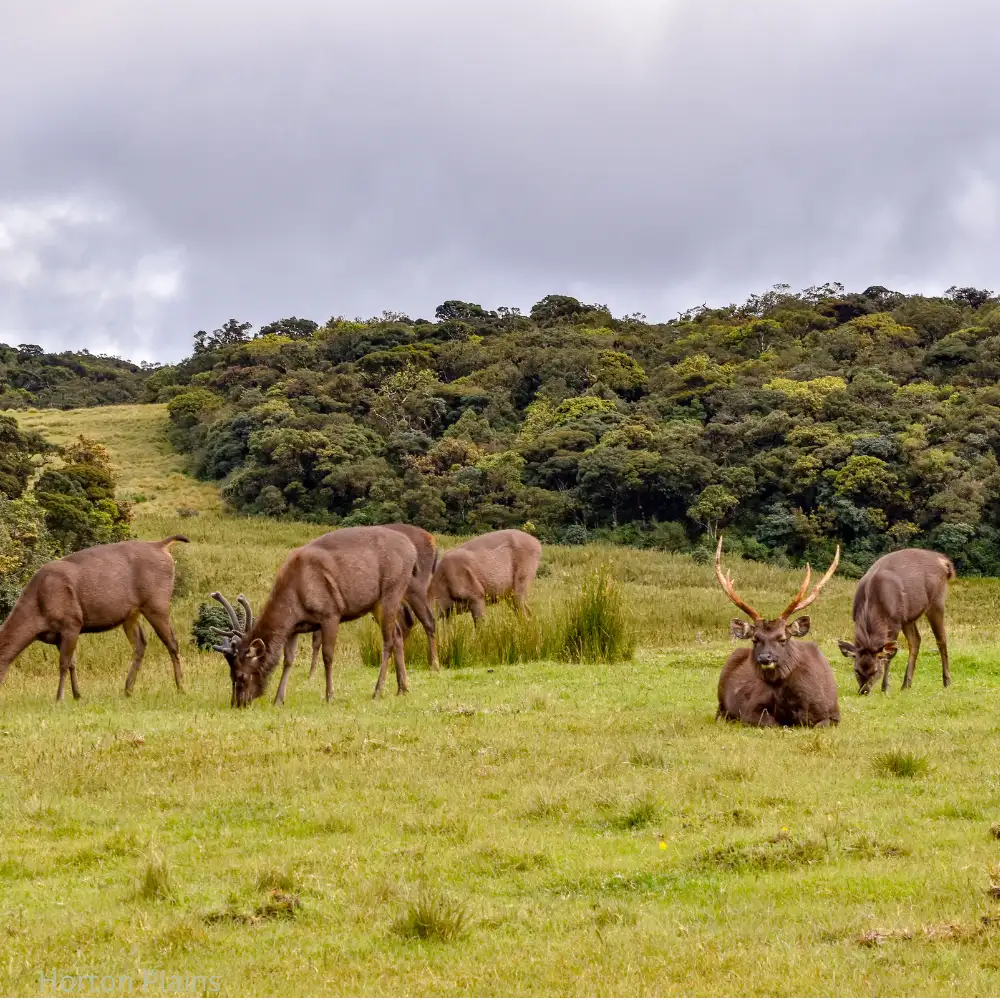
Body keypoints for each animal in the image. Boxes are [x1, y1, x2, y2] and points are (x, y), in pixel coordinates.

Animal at [0, 536, 188, 700]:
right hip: (131, 614)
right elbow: (72, 663)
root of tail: (160, 545)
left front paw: (60, 698)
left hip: (156, 602)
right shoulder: (59, 635)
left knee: (172, 642)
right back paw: (128, 689)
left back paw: (181, 687)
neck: (38, 616)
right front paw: (77, 695)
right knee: (140, 644)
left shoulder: (72, 622)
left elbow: (63, 663)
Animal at [214, 524, 422, 704]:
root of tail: (413, 551)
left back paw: (378, 690)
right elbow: (288, 660)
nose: (237, 703)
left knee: (388, 640)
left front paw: (330, 696)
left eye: (241, 675)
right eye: (230, 675)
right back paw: (402, 688)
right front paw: (278, 699)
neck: (294, 600)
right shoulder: (293, 628)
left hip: (392, 590)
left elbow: (327, 656)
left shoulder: (330, 613)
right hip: (376, 603)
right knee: (397, 633)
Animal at [716, 540, 840, 728]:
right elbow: (772, 723)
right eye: (755, 639)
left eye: (782, 638)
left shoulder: (834, 713)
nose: (765, 658)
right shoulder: (749, 709)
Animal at [836, 548, 952, 696]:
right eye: (856, 670)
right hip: (908, 617)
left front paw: (885, 688)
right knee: (916, 640)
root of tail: (944, 561)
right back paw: (906, 684)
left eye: (875, 671)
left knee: (941, 638)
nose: (864, 691)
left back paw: (947, 682)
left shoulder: (895, 622)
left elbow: (889, 656)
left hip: (937, 601)